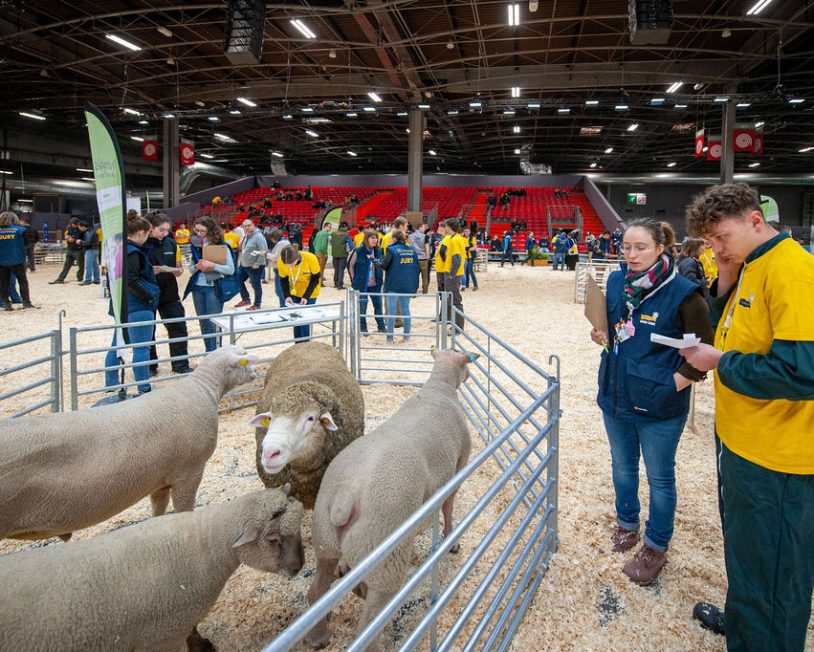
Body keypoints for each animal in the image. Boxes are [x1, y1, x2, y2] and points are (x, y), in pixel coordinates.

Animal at [0, 344, 260, 544]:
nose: (257, 372)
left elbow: (159, 509)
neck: (202, 388)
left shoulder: (160, 479)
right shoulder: (189, 471)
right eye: (244, 358)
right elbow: (184, 509)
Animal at [304, 348, 478, 648]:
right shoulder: (458, 467)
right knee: (368, 626)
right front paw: (451, 540)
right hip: (385, 557)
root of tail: (345, 497)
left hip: (325, 540)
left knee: (316, 592)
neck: (440, 387)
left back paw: (320, 636)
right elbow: (447, 507)